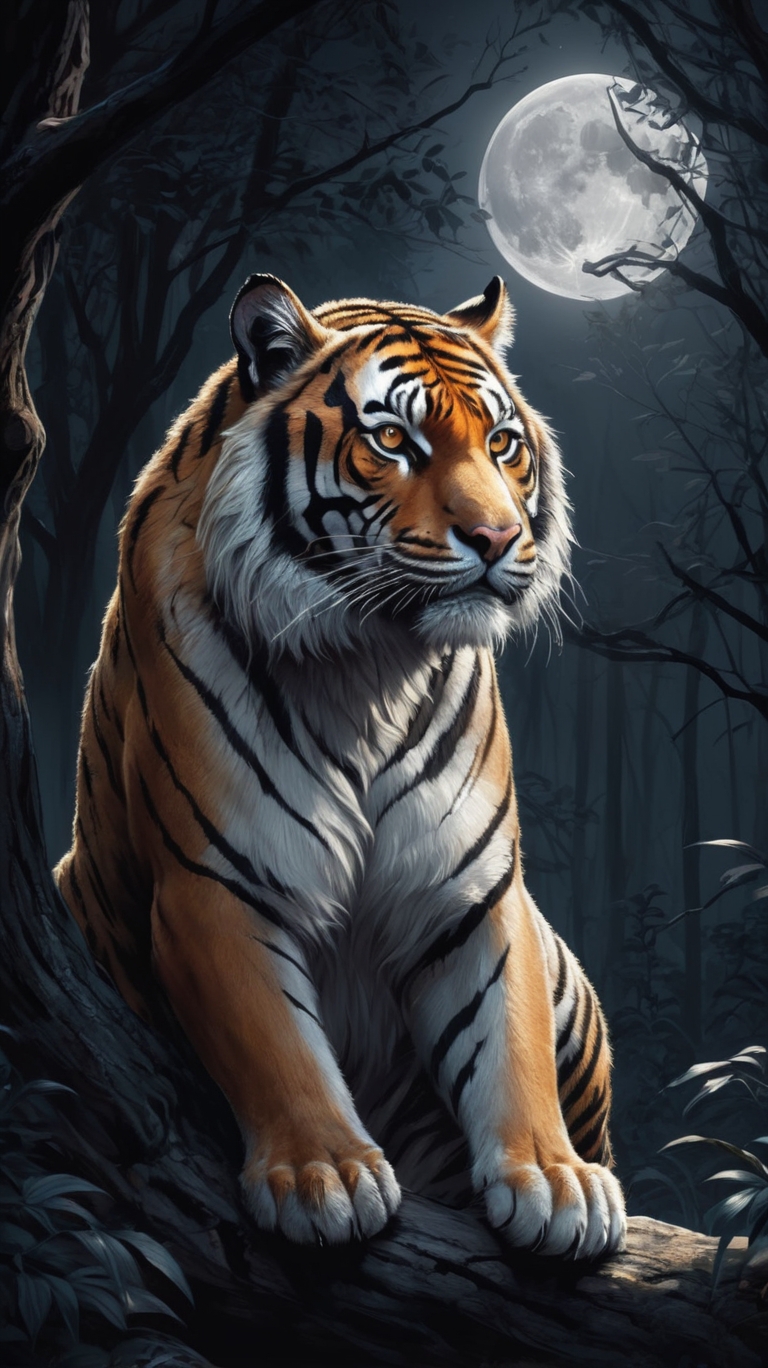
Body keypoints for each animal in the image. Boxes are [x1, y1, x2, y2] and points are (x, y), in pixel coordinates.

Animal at [56, 272, 626, 1257]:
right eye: (393, 440)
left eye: (503, 444)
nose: (498, 537)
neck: (370, 666)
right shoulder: (217, 882)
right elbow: (275, 1042)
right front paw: (324, 1173)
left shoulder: (474, 892)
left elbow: (507, 1043)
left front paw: (553, 1179)